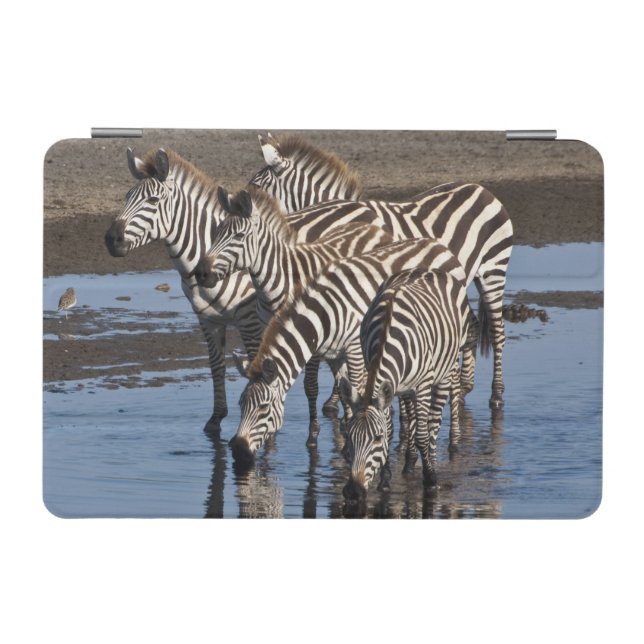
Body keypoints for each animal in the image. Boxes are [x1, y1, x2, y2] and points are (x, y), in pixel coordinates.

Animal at [104, 147, 372, 431]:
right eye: (126, 197)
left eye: (153, 200)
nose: (111, 239)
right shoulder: (208, 321)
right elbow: (216, 367)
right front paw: (216, 419)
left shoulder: (250, 322)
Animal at [229, 239, 471, 465]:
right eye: (240, 404)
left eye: (263, 408)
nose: (239, 451)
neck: (323, 316)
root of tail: (440, 245)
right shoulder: (336, 355)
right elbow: (345, 392)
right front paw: (347, 440)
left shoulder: (354, 349)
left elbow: (355, 388)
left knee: (454, 382)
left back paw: (454, 439)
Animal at [248, 135, 512, 409]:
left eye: (256, 187)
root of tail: (480, 188)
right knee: (471, 325)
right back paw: (466, 384)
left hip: (493, 268)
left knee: (497, 331)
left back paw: (496, 394)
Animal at [339, 268, 472, 503]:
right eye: (349, 437)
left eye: (376, 438)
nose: (353, 492)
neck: (386, 333)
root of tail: (427, 269)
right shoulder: (384, 383)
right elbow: (393, 429)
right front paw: (385, 481)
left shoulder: (423, 384)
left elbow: (422, 435)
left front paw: (430, 479)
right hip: (404, 387)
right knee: (411, 418)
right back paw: (409, 463)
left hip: (445, 368)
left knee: (433, 423)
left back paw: (435, 460)